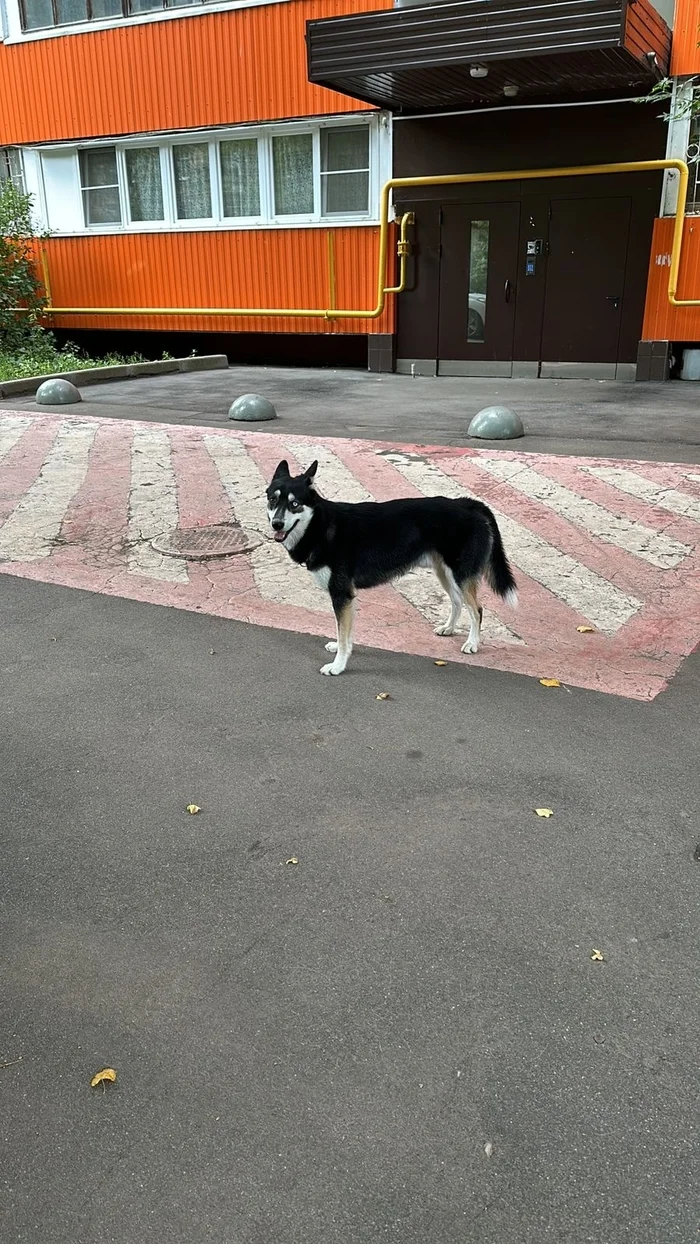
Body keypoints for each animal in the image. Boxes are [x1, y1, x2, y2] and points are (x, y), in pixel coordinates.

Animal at [266, 457, 517, 676]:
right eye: (272, 500)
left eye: (295, 504)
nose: (276, 524)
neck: (321, 526)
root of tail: (466, 503)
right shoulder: (347, 598)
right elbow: (345, 633)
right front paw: (340, 651)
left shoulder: (341, 594)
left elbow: (343, 634)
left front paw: (337, 666)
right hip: (445, 573)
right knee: (457, 602)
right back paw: (449, 629)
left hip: (460, 575)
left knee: (476, 610)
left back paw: (472, 643)